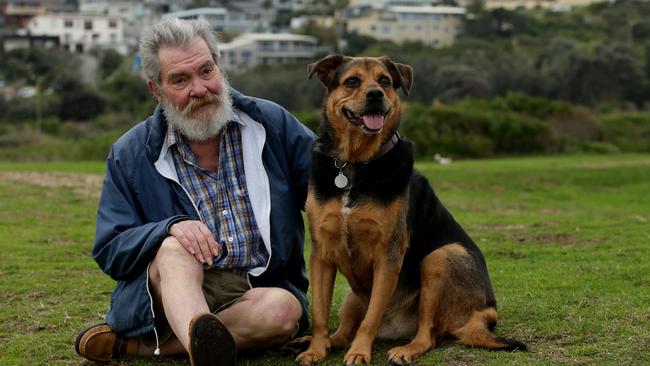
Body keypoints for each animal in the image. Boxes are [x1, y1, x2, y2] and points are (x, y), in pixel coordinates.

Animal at [294, 55, 528, 366]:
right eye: (352, 81)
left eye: (384, 81)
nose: (375, 95)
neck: (355, 164)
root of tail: (484, 312)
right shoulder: (322, 252)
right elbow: (320, 312)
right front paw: (316, 349)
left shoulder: (387, 255)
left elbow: (370, 319)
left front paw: (359, 352)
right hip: (353, 296)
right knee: (343, 331)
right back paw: (321, 341)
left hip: (441, 258)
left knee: (427, 334)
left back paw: (406, 349)